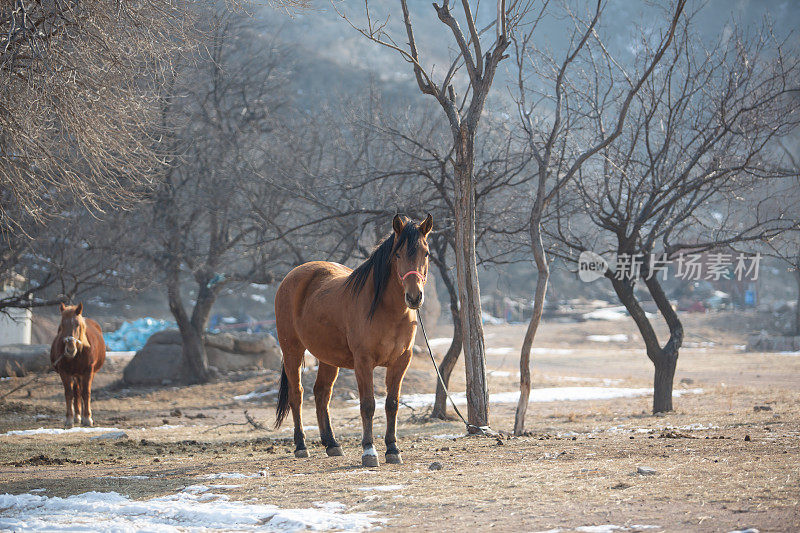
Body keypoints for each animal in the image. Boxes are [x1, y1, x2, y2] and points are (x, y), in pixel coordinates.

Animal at [276, 214, 438, 464]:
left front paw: (392, 449)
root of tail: (292, 277)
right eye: (398, 254)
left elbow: (392, 404)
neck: (387, 310)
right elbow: (368, 405)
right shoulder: (364, 362)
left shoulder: (401, 362)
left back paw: (332, 444)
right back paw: (301, 445)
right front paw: (369, 451)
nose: (414, 297)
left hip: (328, 358)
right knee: (297, 394)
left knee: (322, 394)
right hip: (292, 350)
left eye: (426, 253)